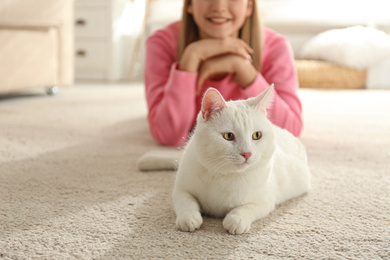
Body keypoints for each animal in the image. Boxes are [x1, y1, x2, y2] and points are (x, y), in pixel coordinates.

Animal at [173, 86, 310, 236]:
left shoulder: (265, 200)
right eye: (228, 136)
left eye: (257, 135)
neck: (225, 175)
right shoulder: (180, 188)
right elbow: (186, 201)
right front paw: (189, 217)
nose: (247, 153)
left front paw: (236, 220)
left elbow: (247, 208)